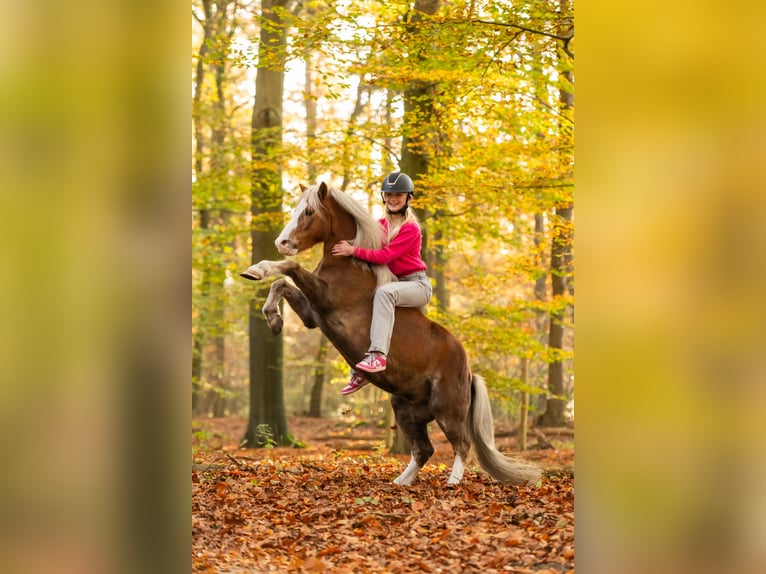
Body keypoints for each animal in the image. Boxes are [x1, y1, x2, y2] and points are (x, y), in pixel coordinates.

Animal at [241, 181, 540, 487]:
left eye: (309, 211)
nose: (282, 243)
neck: (350, 265)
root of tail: (469, 373)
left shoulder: (324, 299)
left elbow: (289, 268)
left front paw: (258, 270)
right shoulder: (313, 315)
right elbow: (280, 284)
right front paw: (274, 320)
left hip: (446, 409)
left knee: (461, 445)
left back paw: (452, 483)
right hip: (406, 408)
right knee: (424, 450)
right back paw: (400, 483)